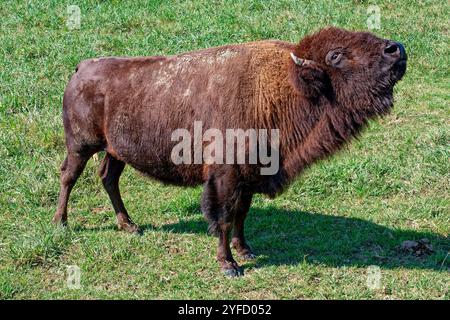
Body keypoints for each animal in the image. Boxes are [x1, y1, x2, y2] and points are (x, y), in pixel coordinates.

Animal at [53, 27, 408, 276]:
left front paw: (246, 250)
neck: (280, 87)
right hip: (81, 145)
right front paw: (229, 265)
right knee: (69, 176)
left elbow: (241, 215)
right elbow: (223, 217)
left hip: (115, 151)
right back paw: (61, 223)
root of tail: (81, 68)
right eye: (335, 55)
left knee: (108, 178)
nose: (396, 49)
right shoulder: (224, 177)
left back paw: (129, 225)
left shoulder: (249, 178)